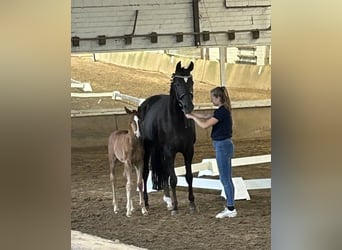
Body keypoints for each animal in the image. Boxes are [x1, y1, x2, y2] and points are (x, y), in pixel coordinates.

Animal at [138, 60, 196, 215]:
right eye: (177, 84)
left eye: (191, 82)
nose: (188, 107)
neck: (176, 121)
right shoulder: (170, 152)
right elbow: (174, 179)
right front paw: (175, 207)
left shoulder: (188, 151)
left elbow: (189, 176)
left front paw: (191, 203)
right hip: (148, 150)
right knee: (145, 173)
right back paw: (146, 202)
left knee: (164, 172)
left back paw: (168, 200)